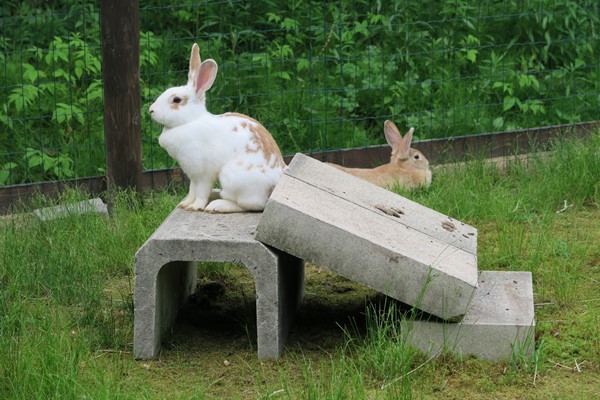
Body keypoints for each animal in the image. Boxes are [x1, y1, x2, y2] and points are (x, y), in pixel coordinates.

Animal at [148, 43, 284, 212]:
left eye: (176, 100)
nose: (151, 110)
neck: (190, 121)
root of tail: (275, 187)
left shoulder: (204, 174)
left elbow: (201, 192)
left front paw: (196, 207)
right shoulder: (192, 175)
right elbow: (192, 190)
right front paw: (184, 204)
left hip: (231, 178)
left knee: (250, 205)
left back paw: (217, 206)